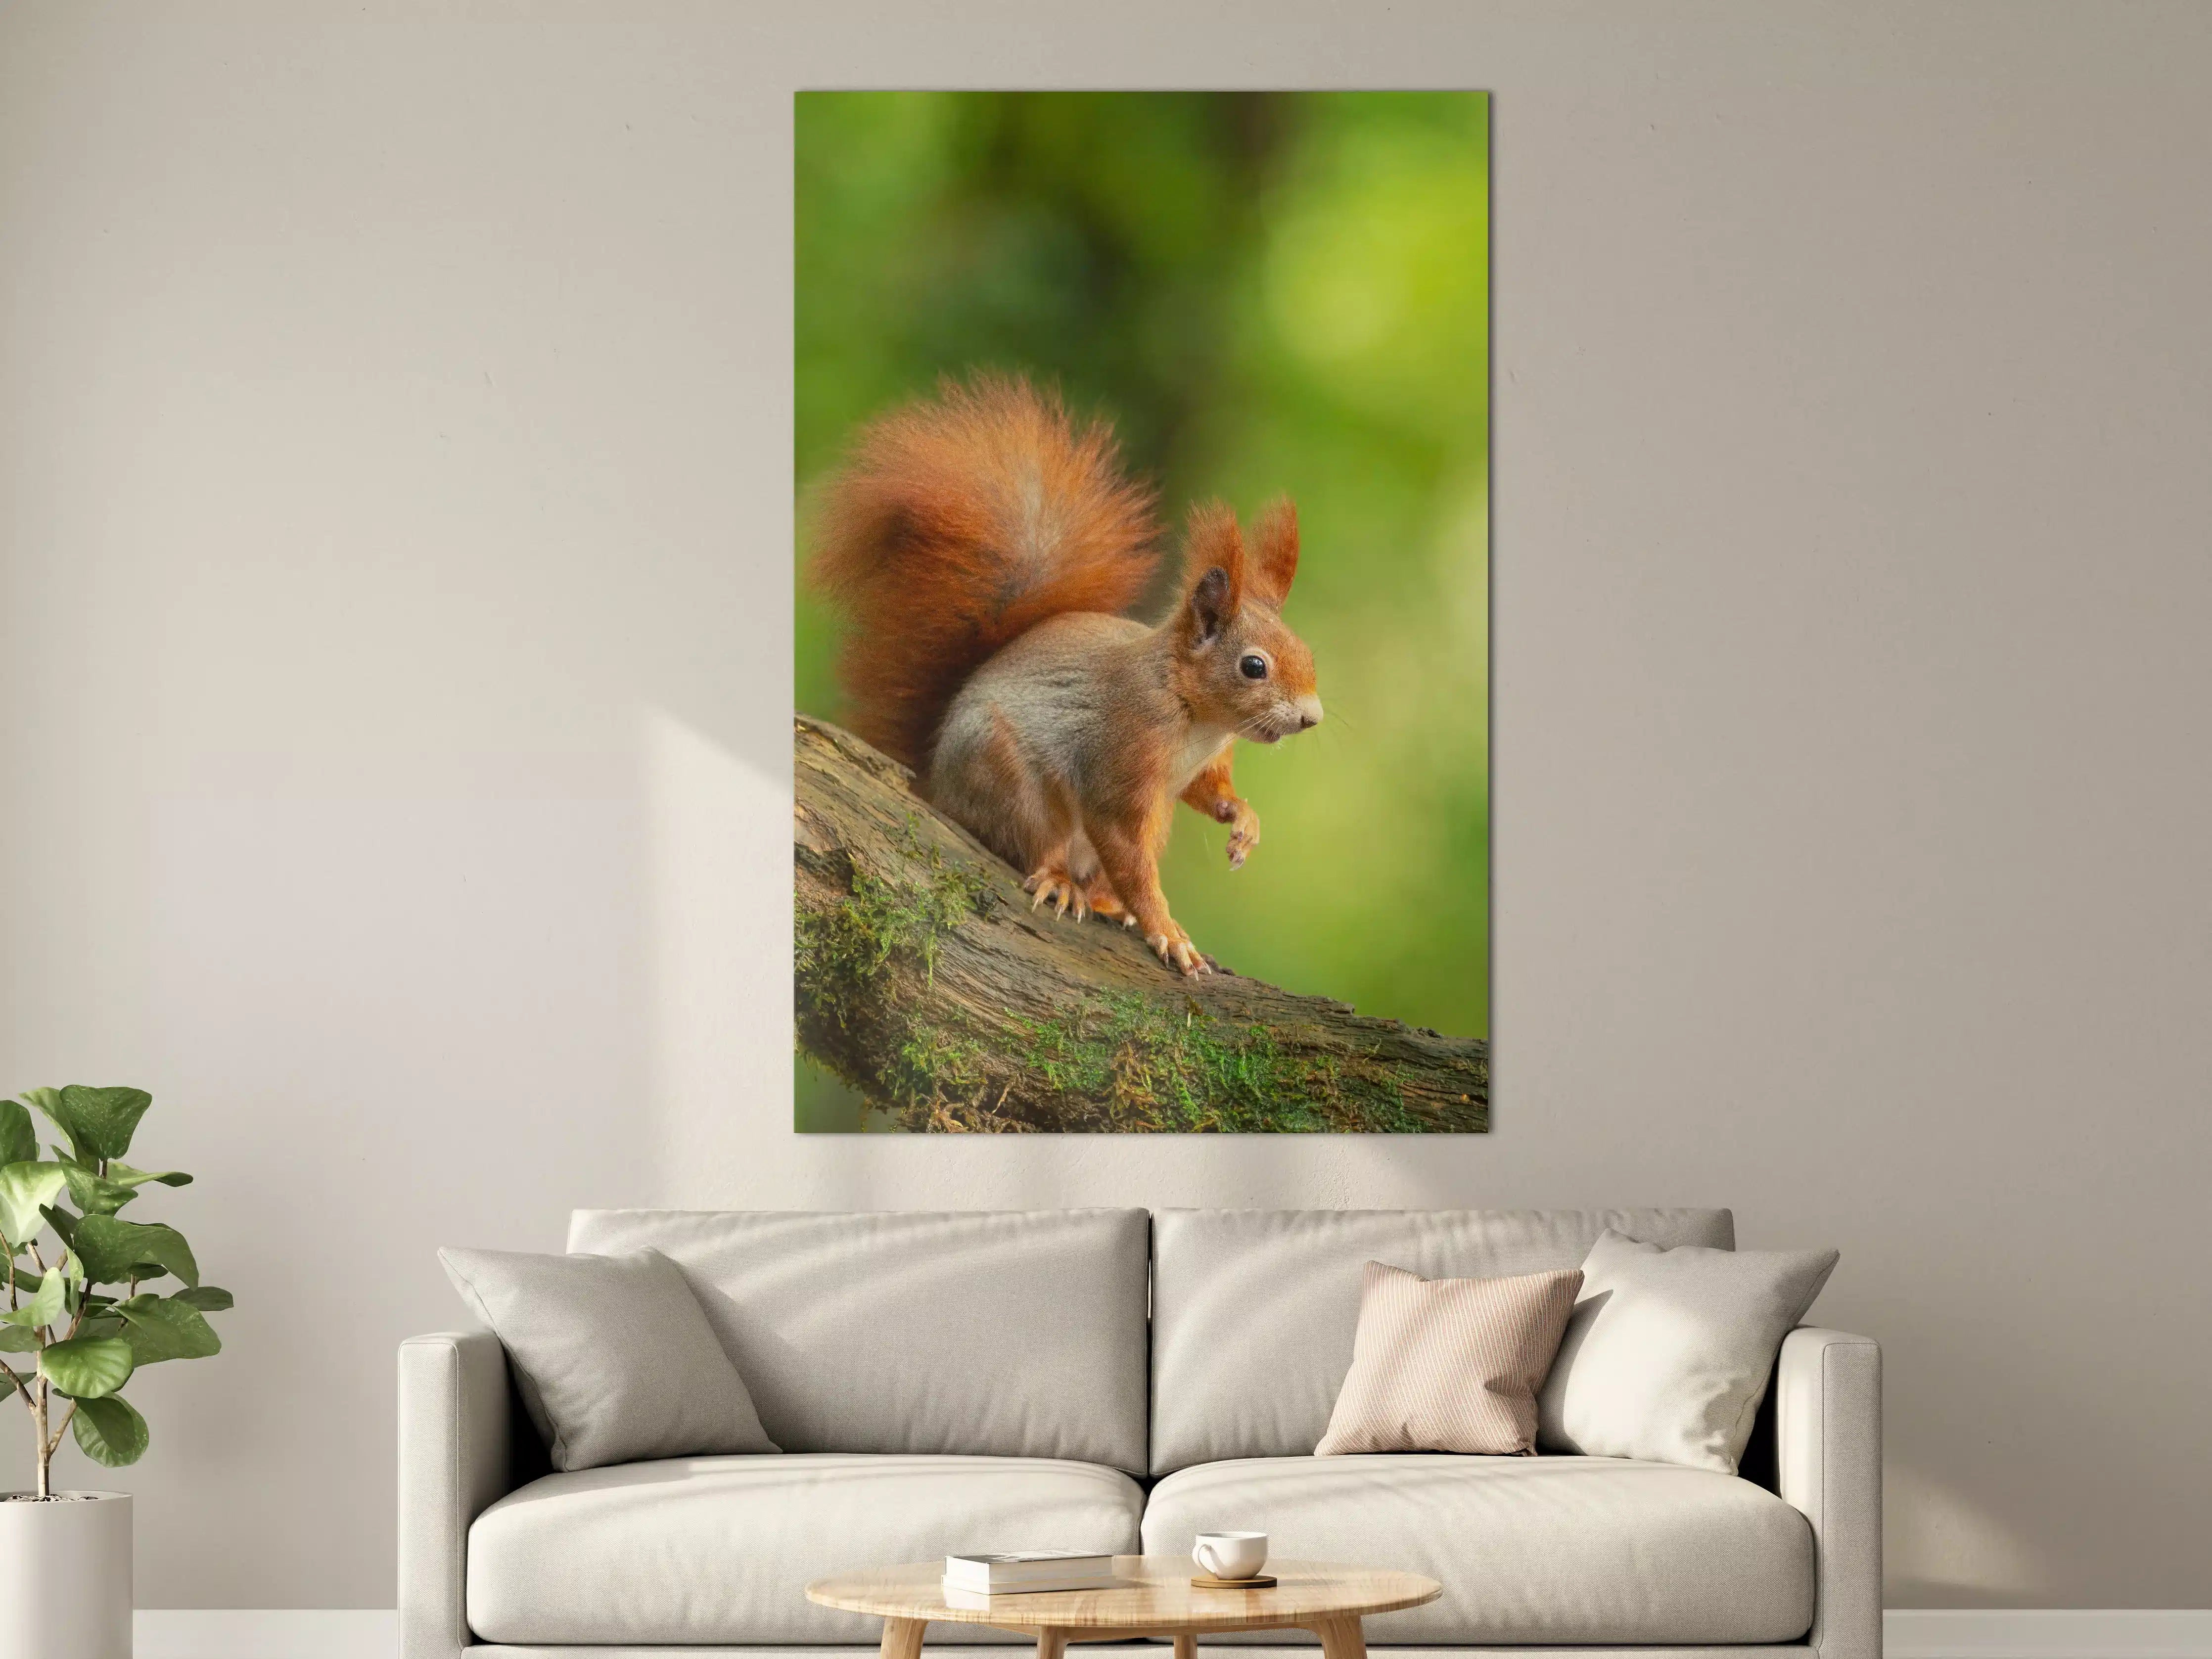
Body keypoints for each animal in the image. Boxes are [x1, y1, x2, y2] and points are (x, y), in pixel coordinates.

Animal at [808, 373, 1324, 976]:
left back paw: (1102, 901)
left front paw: (1243, 821)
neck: (1196, 717)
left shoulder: (1200, 768)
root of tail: (934, 785)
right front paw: (1166, 929)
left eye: (1306, 652)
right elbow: (1126, 852)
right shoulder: (1120, 759)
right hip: (1005, 777)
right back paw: (1061, 882)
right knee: (1034, 845)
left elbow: (1208, 792)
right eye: (1253, 666)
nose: (1312, 717)